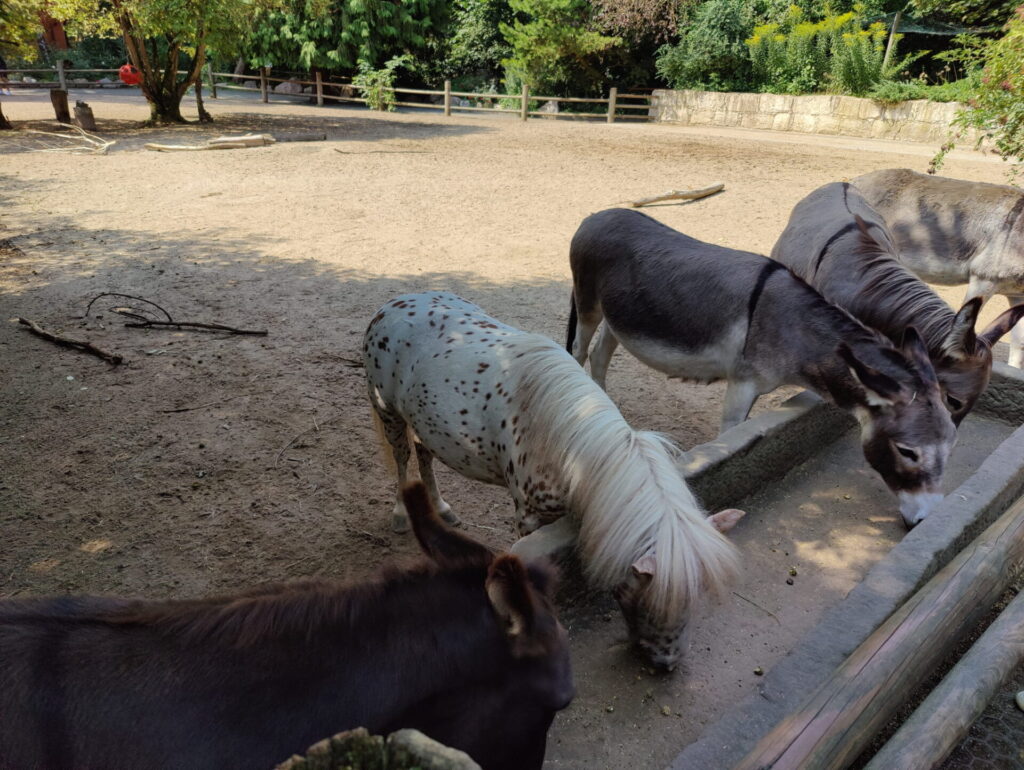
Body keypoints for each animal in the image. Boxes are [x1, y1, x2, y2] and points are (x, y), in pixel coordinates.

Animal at [364, 290, 741, 671]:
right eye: (655, 600)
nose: (666, 663)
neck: (570, 448)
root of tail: (392, 305)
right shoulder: (530, 518)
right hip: (388, 412)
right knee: (402, 458)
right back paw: (401, 514)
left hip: (425, 424)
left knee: (424, 454)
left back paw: (441, 508)